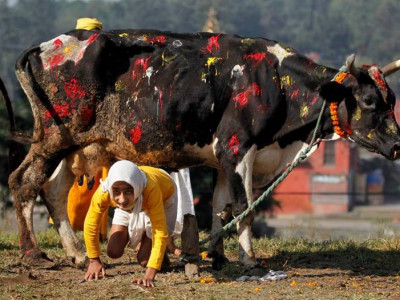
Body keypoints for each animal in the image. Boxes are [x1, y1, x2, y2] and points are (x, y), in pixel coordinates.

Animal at [6, 28, 400, 270]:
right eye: (368, 101)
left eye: (392, 100)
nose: (397, 145)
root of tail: (49, 44)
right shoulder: (236, 147)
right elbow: (243, 207)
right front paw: (249, 259)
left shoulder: (224, 158)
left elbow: (221, 207)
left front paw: (218, 255)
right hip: (54, 138)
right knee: (24, 182)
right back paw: (34, 253)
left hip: (75, 144)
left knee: (53, 190)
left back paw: (74, 253)